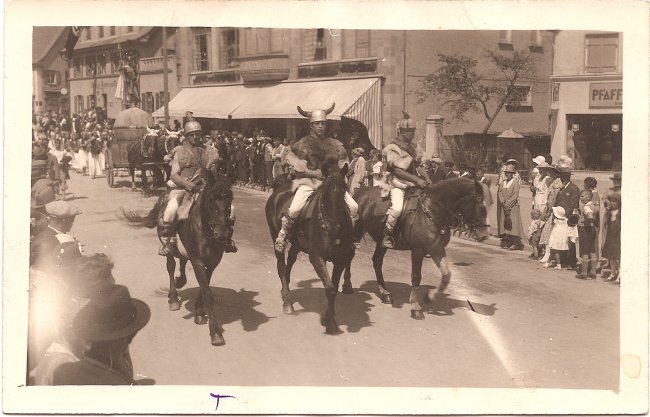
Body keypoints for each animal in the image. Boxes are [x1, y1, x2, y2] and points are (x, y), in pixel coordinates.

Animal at [123, 169, 234, 344]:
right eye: (211, 199)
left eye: (229, 199)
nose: (222, 234)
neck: (205, 230)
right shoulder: (197, 261)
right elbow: (207, 293)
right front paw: (215, 332)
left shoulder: (212, 262)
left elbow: (204, 287)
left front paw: (199, 313)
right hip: (168, 243)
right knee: (171, 266)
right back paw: (173, 297)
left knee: (181, 260)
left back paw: (180, 281)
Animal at [264, 166, 354, 334]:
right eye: (324, 193)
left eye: (345, 189)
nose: (334, 228)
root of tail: (280, 188)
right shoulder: (317, 257)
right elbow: (330, 288)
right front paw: (330, 322)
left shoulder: (339, 260)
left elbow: (333, 288)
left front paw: (328, 317)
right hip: (275, 236)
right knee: (281, 266)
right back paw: (287, 302)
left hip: (296, 244)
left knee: (290, 262)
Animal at [350, 178, 486, 318]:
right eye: (479, 204)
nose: (484, 235)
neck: (432, 211)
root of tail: (359, 191)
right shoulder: (417, 251)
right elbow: (416, 277)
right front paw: (415, 306)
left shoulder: (437, 250)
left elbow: (446, 275)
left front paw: (430, 296)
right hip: (356, 232)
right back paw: (348, 287)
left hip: (380, 242)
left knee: (377, 261)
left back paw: (385, 293)